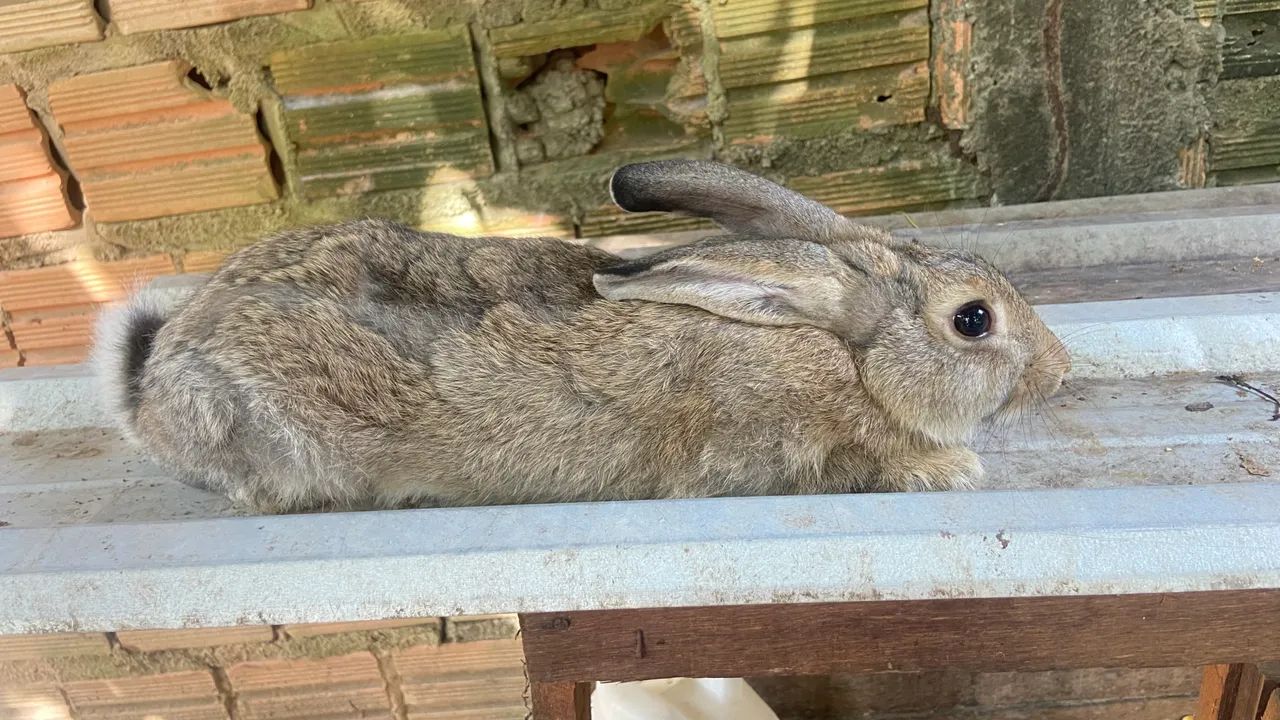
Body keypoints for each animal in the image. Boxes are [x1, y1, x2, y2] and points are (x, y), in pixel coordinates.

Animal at [93, 160, 1070, 513]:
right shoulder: (773, 448)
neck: (846, 355)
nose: (1060, 371)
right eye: (973, 320)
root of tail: (149, 381)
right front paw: (950, 468)